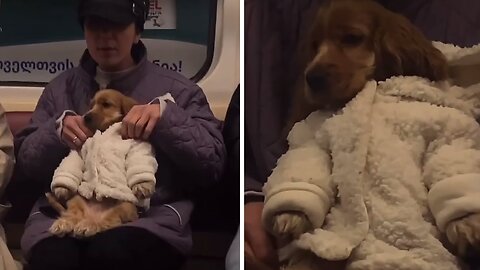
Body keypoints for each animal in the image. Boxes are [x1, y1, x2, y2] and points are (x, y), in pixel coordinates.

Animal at [47, 89, 157, 237]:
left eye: (106, 104)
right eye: (91, 105)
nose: (85, 117)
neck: (104, 129)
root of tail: (90, 215)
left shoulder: (137, 143)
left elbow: (139, 158)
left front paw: (143, 185)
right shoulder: (78, 149)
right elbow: (72, 161)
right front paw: (61, 188)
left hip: (124, 205)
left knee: (108, 221)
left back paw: (89, 225)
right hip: (77, 200)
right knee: (74, 215)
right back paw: (64, 224)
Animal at [278, 0, 480, 266]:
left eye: (352, 38)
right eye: (314, 46)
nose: (312, 77)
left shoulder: (444, 127)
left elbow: (448, 154)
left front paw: (466, 223)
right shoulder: (311, 133)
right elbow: (305, 159)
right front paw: (290, 214)